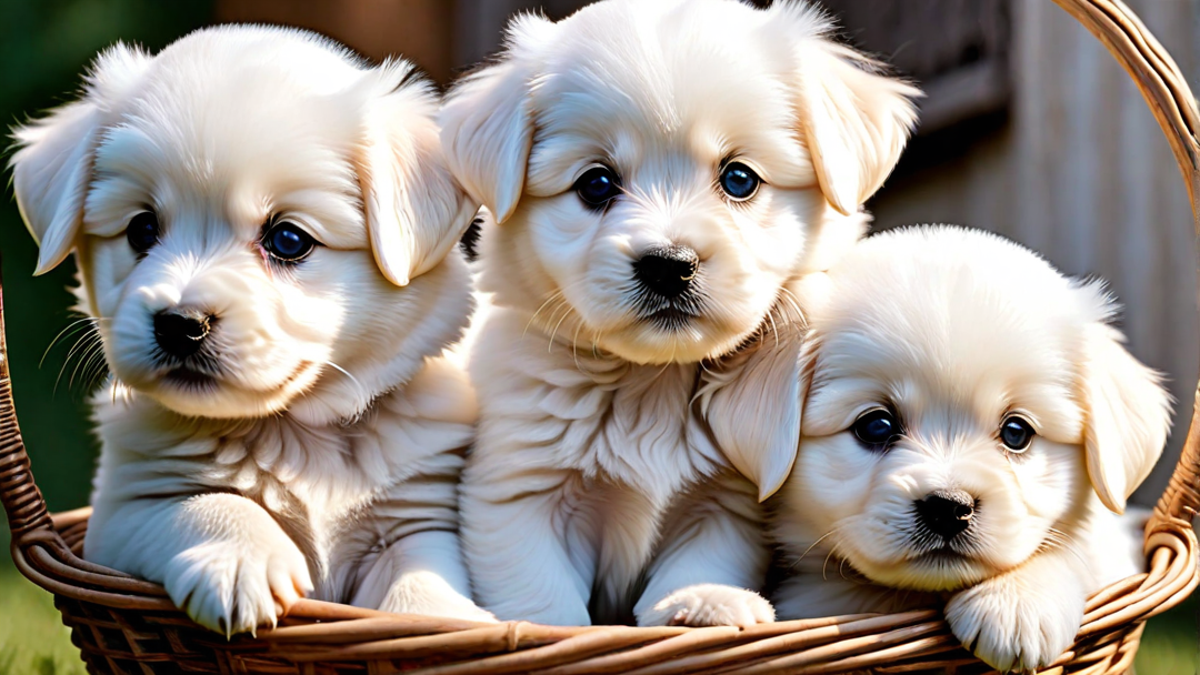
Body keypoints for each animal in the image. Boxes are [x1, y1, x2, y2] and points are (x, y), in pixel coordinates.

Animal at [9, 26, 496, 634]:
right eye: (142, 229)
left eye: (288, 239)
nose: (180, 325)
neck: (295, 430)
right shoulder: (120, 516)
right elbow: (210, 503)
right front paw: (242, 561)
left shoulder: (417, 516)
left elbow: (422, 573)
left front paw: (441, 618)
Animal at [441, 0, 916, 624]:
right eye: (596, 183)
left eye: (739, 178)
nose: (669, 265)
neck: (653, 383)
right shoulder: (518, 489)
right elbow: (541, 590)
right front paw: (549, 630)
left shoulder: (728, 501)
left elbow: (700, 562)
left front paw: (704, 603)